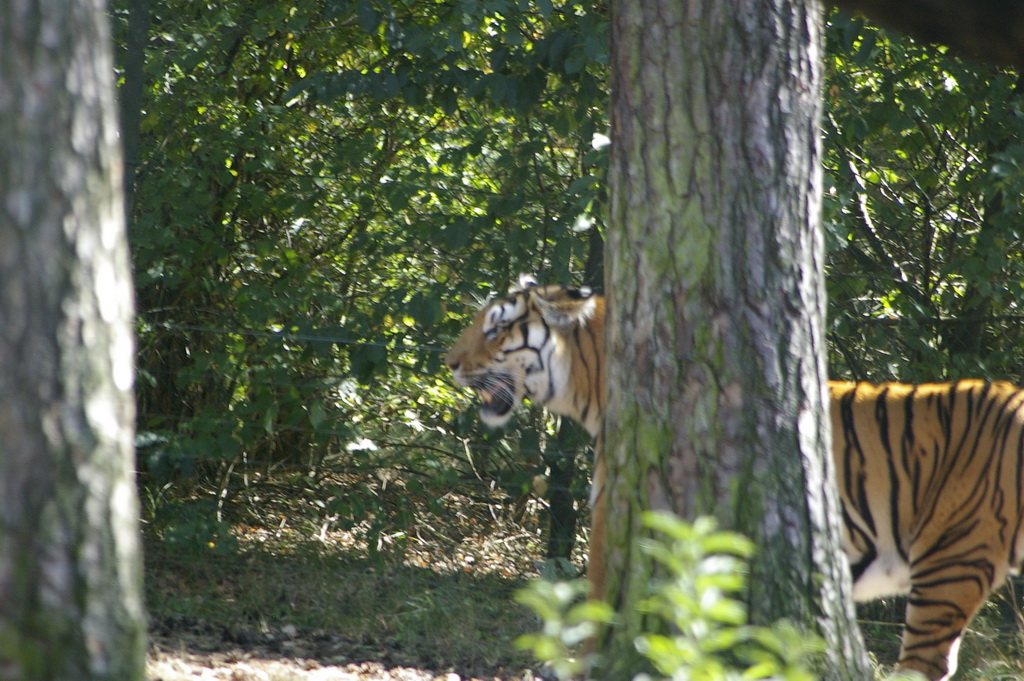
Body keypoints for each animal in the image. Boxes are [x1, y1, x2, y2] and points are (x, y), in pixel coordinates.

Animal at [445, 275, 1024, 681]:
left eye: (496, 328)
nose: (449, 362)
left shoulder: (612, 506)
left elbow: (597, 594)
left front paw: (577, 665)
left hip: (952, 562)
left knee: (925, 662)